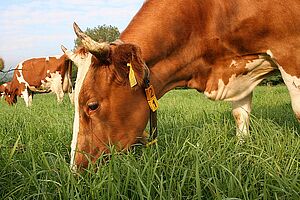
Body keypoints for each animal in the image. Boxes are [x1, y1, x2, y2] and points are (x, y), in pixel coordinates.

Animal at [69, 0, 300, 169]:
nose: (75, 170)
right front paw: (242, 152)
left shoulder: (289, 51)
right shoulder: (239, 73)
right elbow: (240, 116)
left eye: (92, 105)